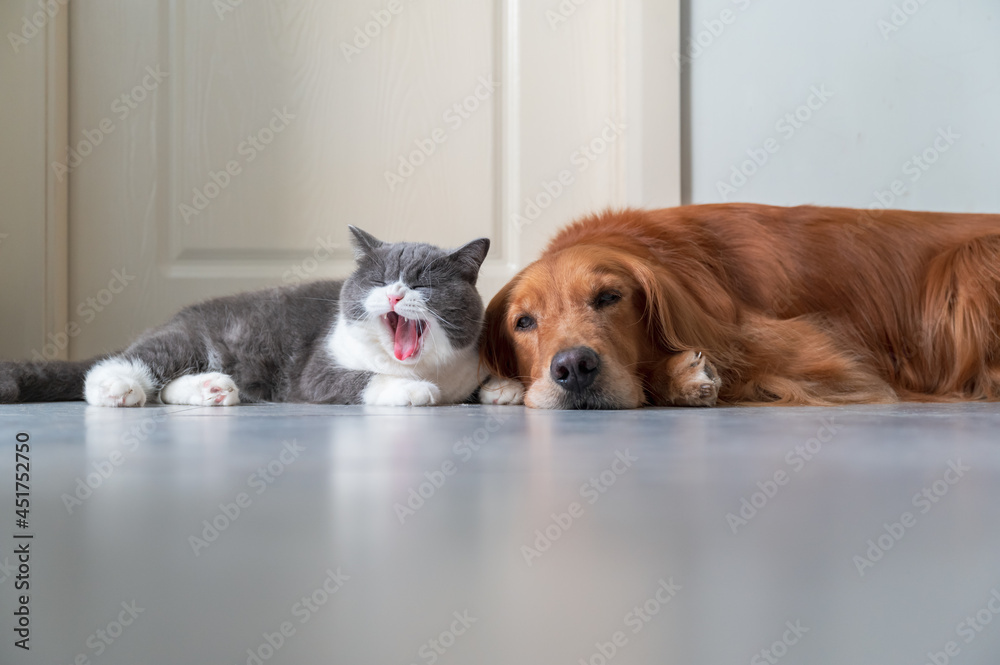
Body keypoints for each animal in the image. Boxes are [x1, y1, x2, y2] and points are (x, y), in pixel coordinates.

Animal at [0, 226, 492, 408]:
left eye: (423, 284)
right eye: (379, 280)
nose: (394, 293)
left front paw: (500, 389)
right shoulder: (316, 370)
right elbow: (359, 378)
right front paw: (412, 390)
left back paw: (212, 389)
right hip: (187, 340)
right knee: (126, 363)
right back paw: (117, 388)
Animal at [476, 205, 1000, 408]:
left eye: (608, 298)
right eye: (524, 322)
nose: (574, 368)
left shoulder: (822, 359)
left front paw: (682, 376)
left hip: (969, 263)